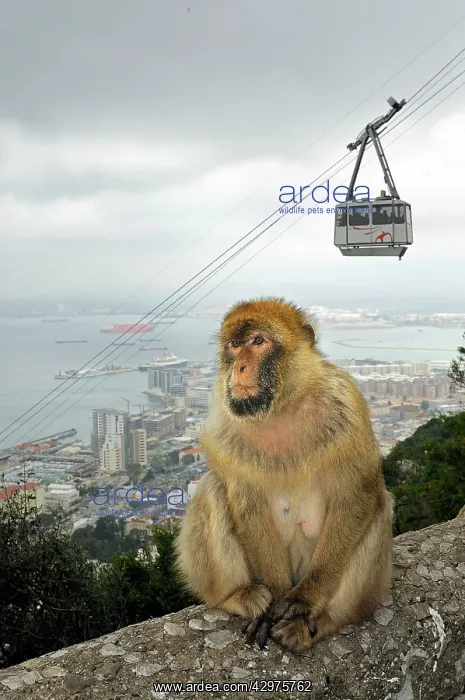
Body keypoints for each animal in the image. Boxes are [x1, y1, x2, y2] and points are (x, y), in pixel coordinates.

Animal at [175, 297, 393, 654]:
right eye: (234, 345)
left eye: (258, 341)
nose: (239, 367)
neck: (280, 408)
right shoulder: (221, 424)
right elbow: (247, 506)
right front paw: (273, 599)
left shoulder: (347, 406)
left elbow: (357, 496)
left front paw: (303, 601)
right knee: (214, 490)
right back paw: (236, 597)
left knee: (379, 505)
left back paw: (324, 621)